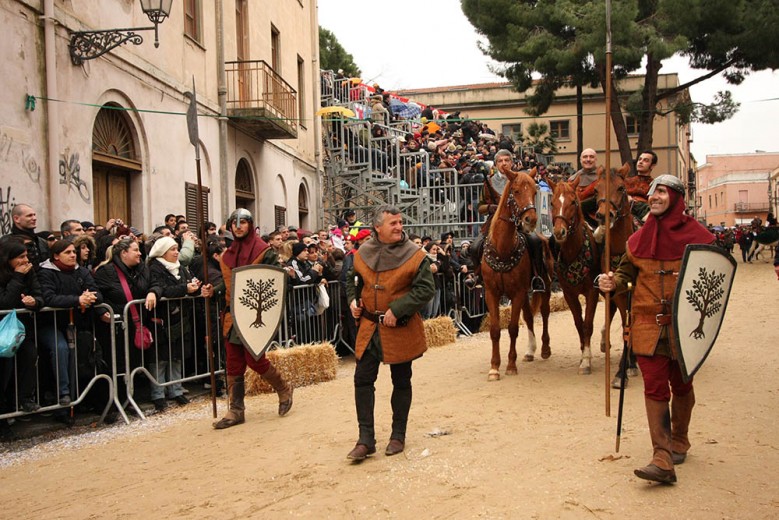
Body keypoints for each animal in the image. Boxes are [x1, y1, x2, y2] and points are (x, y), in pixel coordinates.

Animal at [482, 169, 548, 380]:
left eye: (535, 192)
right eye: (516, 191)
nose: (531, 220)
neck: (503, 249)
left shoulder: (518, 292)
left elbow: (512, 328)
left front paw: (510, 365)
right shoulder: (492, 293)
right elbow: (495, 330)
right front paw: (494, 367)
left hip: (543, 287)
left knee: (544, 313)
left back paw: (544, 348)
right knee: (528, 317)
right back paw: (530, 351)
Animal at [548, 177, 604, 376]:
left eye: (573, 202)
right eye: (552, 203)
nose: (560, 232)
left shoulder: (592, 291)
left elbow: (588, 324)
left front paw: (586, 361)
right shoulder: (569, 294)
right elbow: (579, 323)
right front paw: (583, 354)